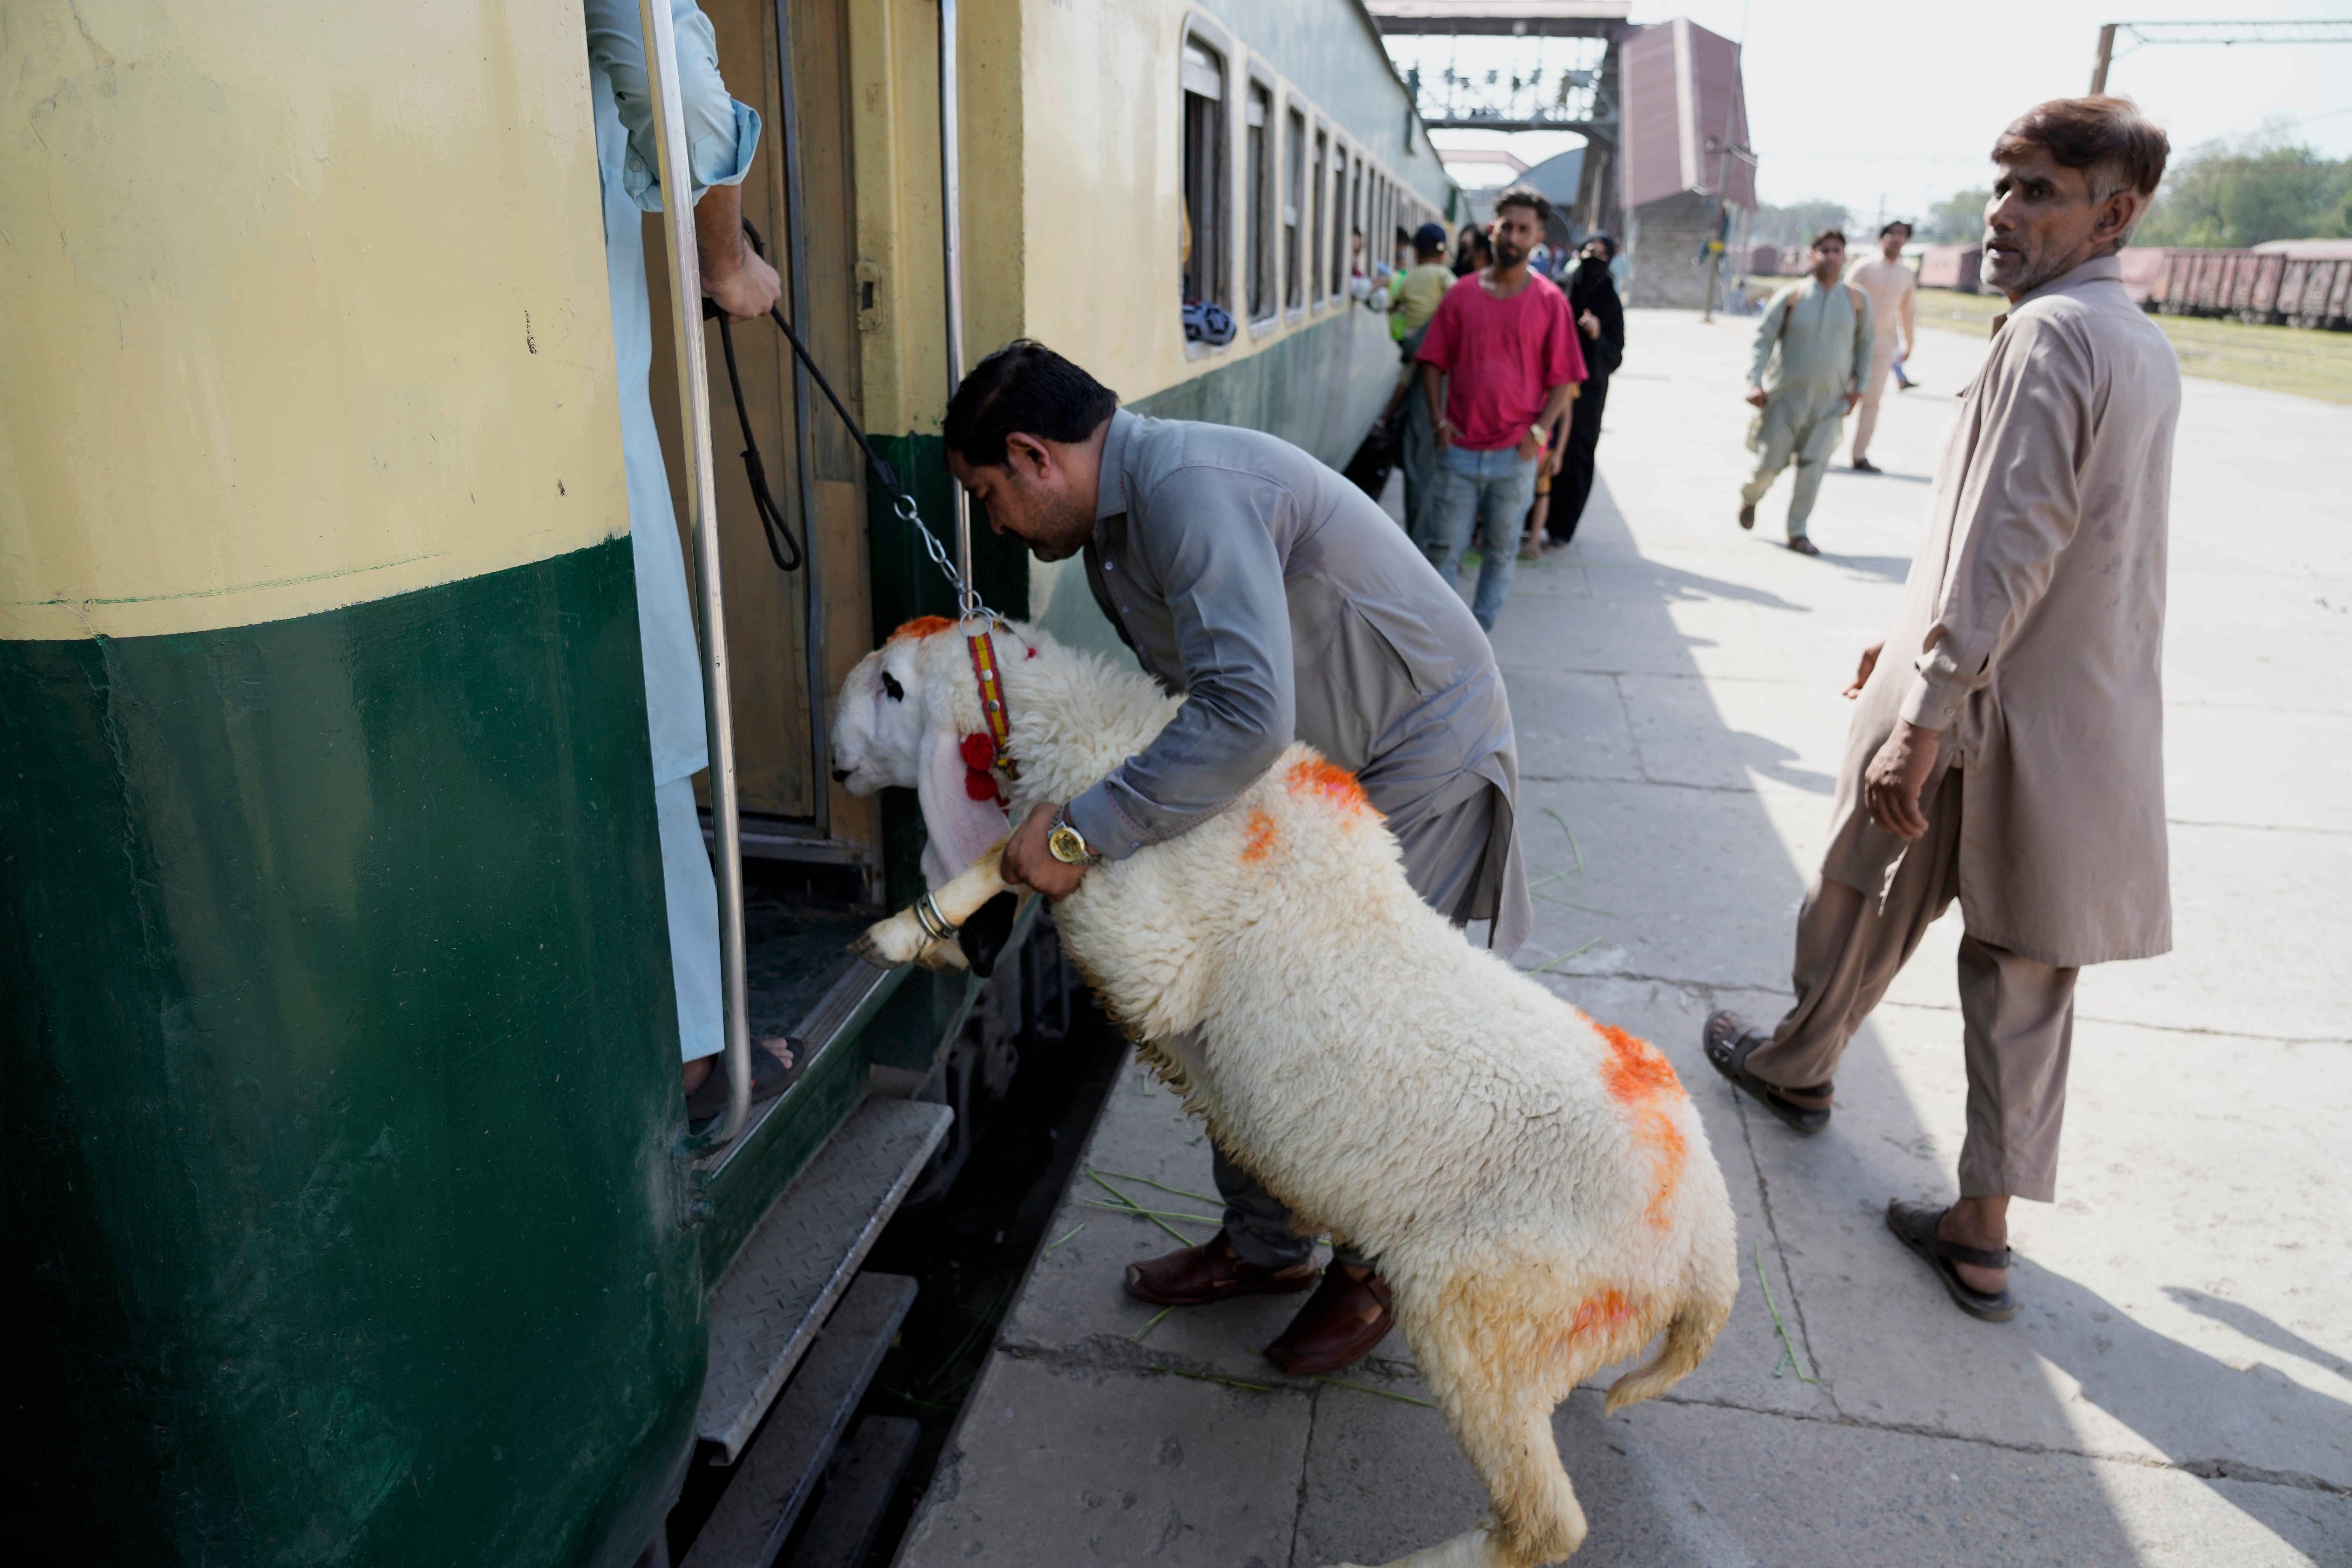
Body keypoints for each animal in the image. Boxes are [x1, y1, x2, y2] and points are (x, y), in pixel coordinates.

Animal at [823, 621, 1731, 1561]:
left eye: (892, 686)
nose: (835, 765)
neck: (1104, 741)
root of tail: (1711, 1256)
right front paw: (922, 935)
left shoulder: (1151, 956)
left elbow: (1011, 854)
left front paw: (903, 931)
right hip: (1543, 1333)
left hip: (1486, 1311)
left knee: (1544, 1522)